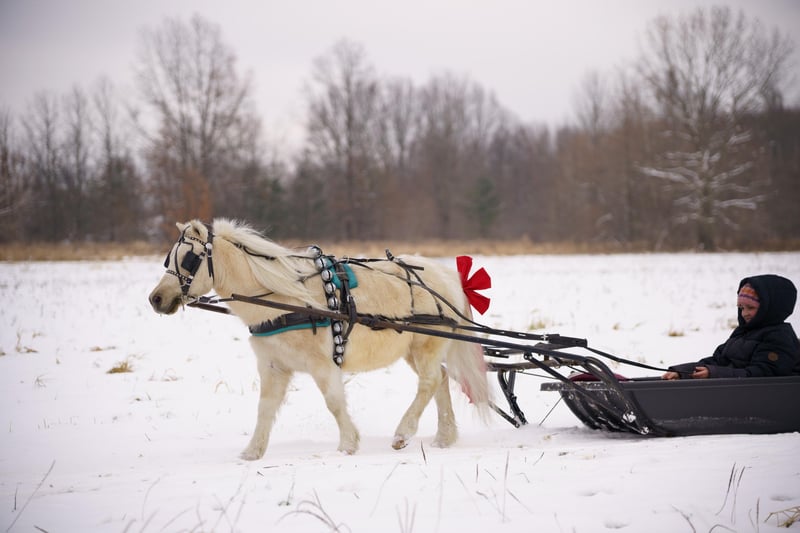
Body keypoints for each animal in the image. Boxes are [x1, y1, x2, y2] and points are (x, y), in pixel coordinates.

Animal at [148, 219, 490, 460]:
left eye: (189, 259)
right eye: (169, 258)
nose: (156, 298)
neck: (283, 299)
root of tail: (447, 276)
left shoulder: (322, 364)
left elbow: (334, 402)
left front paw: (348, 444)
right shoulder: (273, 366)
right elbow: (265, 408)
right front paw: (252, 452)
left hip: (426, 344)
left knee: (429, 382)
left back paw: (403, 433)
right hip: (414, 349)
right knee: (441, 379)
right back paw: (444, 437)